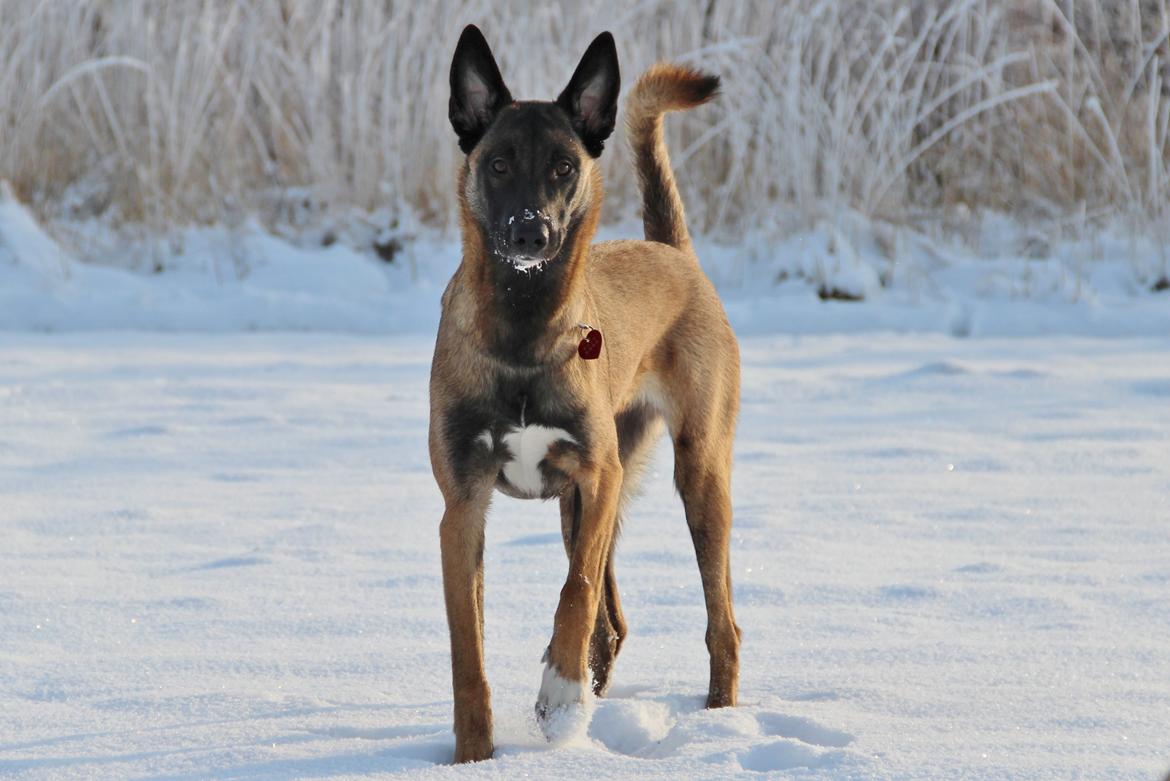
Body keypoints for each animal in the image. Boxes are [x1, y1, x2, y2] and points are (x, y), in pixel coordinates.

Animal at [430, 25, 739, 762]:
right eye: (499, 164)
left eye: (565, 167)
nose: (530, 232)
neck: (524, 333)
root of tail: (673, 251)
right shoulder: (462, 510)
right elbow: (467, 649)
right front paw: (474, 756)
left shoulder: (598, 476)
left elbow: (575, 593)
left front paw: (561, 695)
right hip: (585, 505)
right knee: (615, 619)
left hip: (696, 476)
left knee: (717, 621)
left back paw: (715, 720)